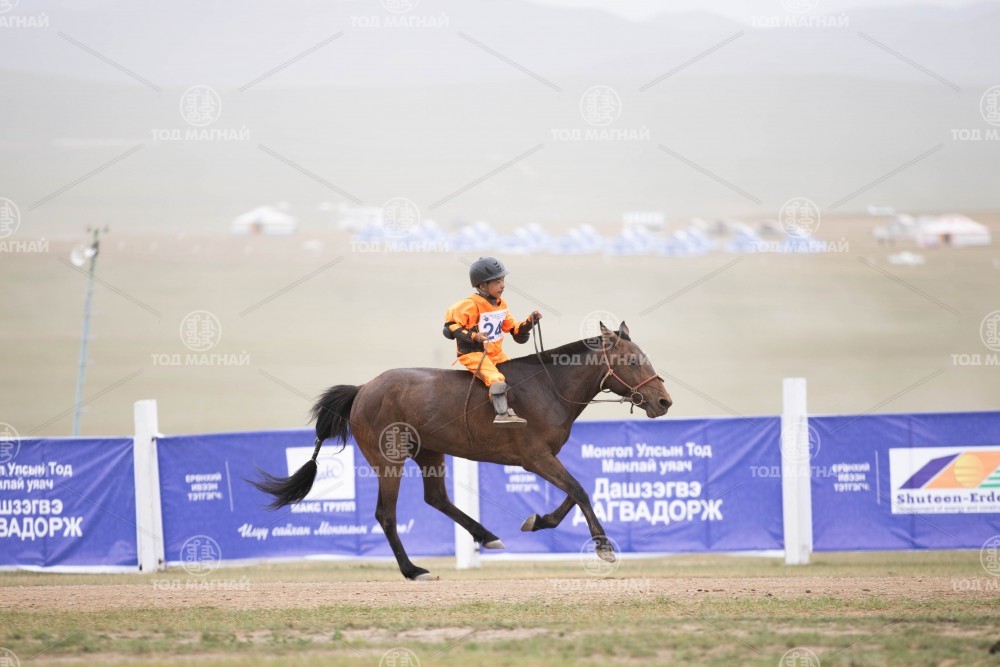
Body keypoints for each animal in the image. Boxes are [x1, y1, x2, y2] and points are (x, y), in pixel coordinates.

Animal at [251, 322, 672, 580]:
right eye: (632, 360)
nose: (664, 401)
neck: (550, 387)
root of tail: (364, 388)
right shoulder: (535, 458)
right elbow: (580, 490)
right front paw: (603, 547)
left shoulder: (542, 458)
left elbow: (572, 493)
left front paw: (538, 520)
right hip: (388, 460)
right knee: (386, 514)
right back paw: (413, 570)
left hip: (430, 454)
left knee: (437, 499)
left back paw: (485, 535)